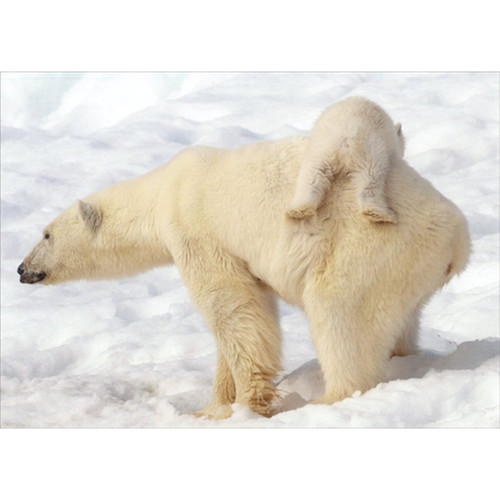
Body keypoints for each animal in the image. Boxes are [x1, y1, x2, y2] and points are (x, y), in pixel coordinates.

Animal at [288, 95, 404, 223]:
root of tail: (346, 135)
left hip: (322, 147)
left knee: (313, 174)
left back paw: (299, 210)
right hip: (368, 148)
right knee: (370, 178)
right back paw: (380, 214)